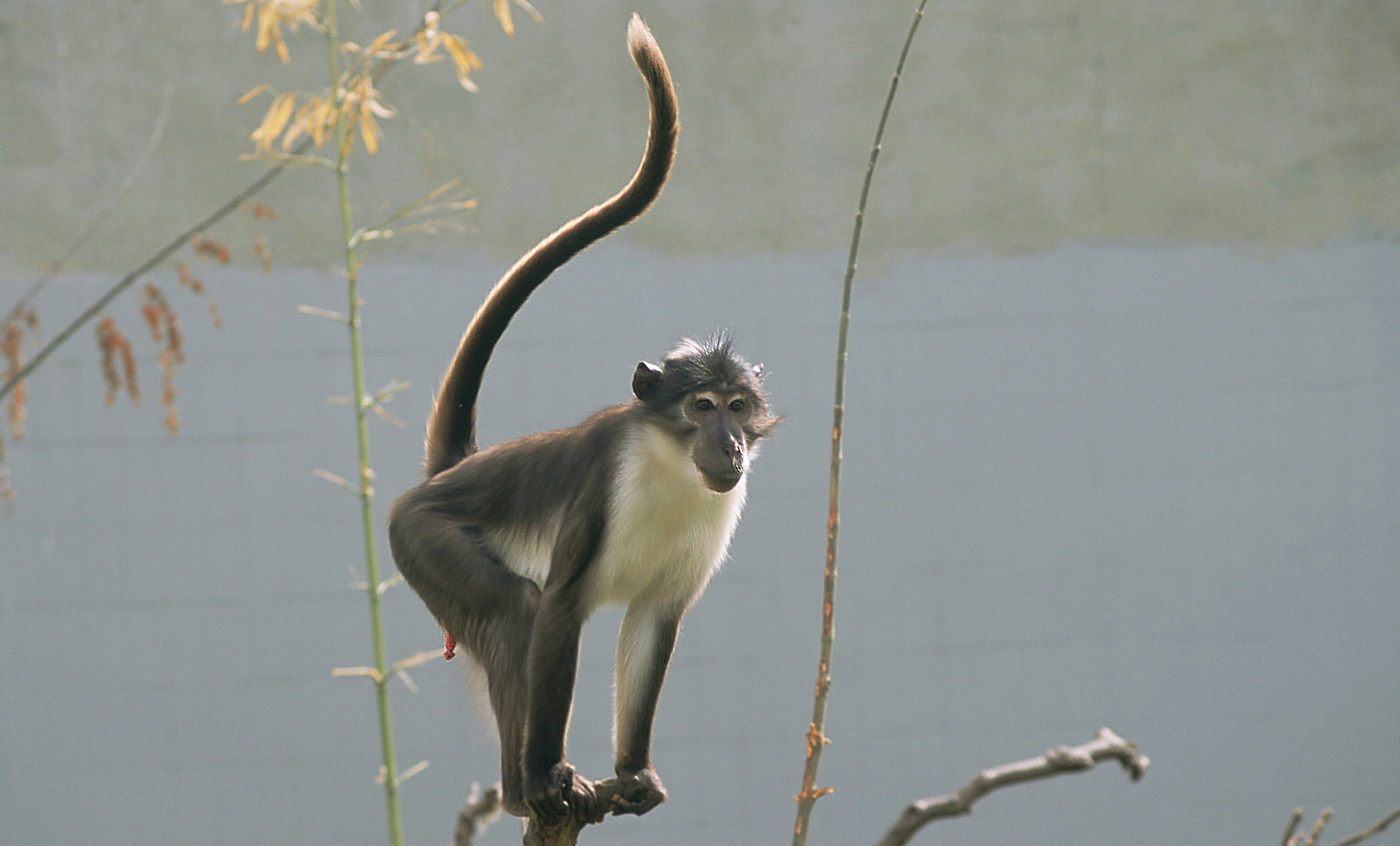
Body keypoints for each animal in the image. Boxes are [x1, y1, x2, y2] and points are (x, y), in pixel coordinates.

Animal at [386, 14, 778, 823]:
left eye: (737, 409)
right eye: (700, 408)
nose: (729, 446)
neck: (668, 469)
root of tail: (447, 475)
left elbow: (654, 622)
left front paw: (634, 773)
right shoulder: (604, 485)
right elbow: (558, 609)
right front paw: (546, 776)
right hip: (419, 536)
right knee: (516, 607)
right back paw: (520, 791)